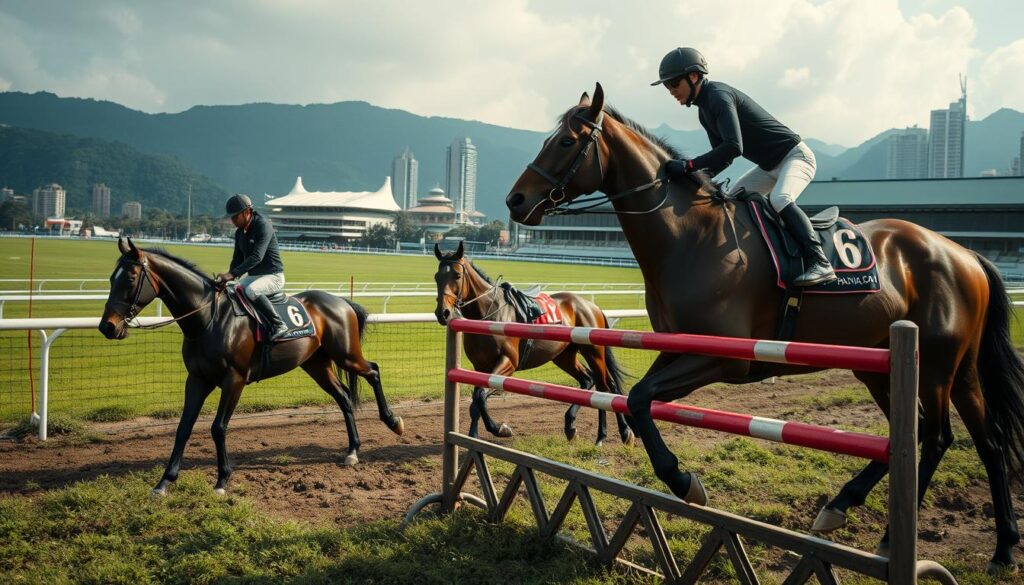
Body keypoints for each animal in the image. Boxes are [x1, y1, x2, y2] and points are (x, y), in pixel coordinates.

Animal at [98, 236, 403, 493]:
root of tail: (341, 301)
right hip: (316, 365)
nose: (107, 327)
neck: (209, 318)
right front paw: (164, 481)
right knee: (344, 397)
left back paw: (393, 421)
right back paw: (352, 451)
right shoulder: (197, 379)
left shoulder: (234, 379)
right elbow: (184, 427)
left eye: (130, 278)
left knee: (373, 370)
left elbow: (218, 428)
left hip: (346, 355)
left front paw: (222, 479)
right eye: (112, 278)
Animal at [432, 242, 630, 448]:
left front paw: (501, 429)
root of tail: (592, 306)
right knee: (588, 380)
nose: (443, 313)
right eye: (437, 276)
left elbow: (480, 396)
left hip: (593, 351)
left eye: (457, 275)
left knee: (605, 386)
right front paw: (474, 436)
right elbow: (476, 400)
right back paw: (571, 426)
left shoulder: (508, 362)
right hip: (564, 356)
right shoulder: (480, 366)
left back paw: (612, 434)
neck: (489, 312)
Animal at [503, 83, 1024, 573]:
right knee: (978, 440)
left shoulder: (723, 357)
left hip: (934, 365)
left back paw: (891, 535)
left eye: (566, 140)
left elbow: (640, 398)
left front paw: (684, 481)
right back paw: (989, 545)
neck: (689, 236)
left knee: (935, 438)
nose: (515, 199)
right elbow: (637, 399)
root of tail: (963, 253)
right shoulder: (676, 348)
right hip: (916, 368)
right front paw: (678, 476)